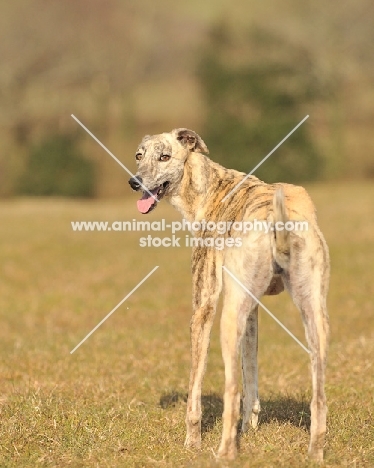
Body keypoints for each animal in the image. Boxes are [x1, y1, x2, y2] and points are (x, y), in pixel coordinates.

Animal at [129, 127, 330, 460]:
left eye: (165, 156)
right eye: (139, 155)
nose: (134, 182)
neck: (208, 187)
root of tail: (278, 221)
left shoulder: (204, 304)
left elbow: (197, 389)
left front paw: (192, 442)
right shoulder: (251, 310)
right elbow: (252, 374)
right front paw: (250, 430)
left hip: (227, 318)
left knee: (232, 390)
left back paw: (224, 453)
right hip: (314, 317)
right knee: (319, 396)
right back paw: (314, 453)